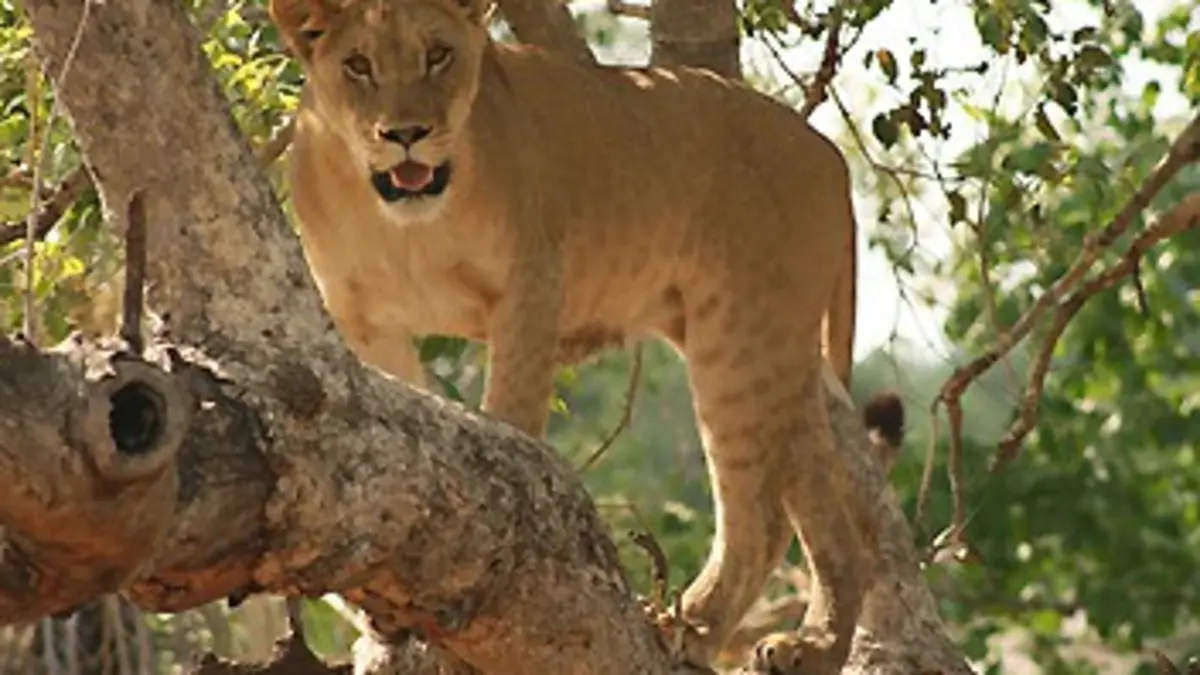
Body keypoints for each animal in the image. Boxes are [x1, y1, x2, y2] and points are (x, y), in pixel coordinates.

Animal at [267, 0, 900, 671]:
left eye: (438, 54)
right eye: (358, 65)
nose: (405, 133)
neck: (406, 225)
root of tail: (826, 153)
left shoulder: (530, 284)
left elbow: (509, 425)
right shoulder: (366, 321)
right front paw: (387, 616)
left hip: (741, 336)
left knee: (757, 515)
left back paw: (724, 635)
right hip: (767, 346)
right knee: (816, 519)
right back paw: (783, 642)